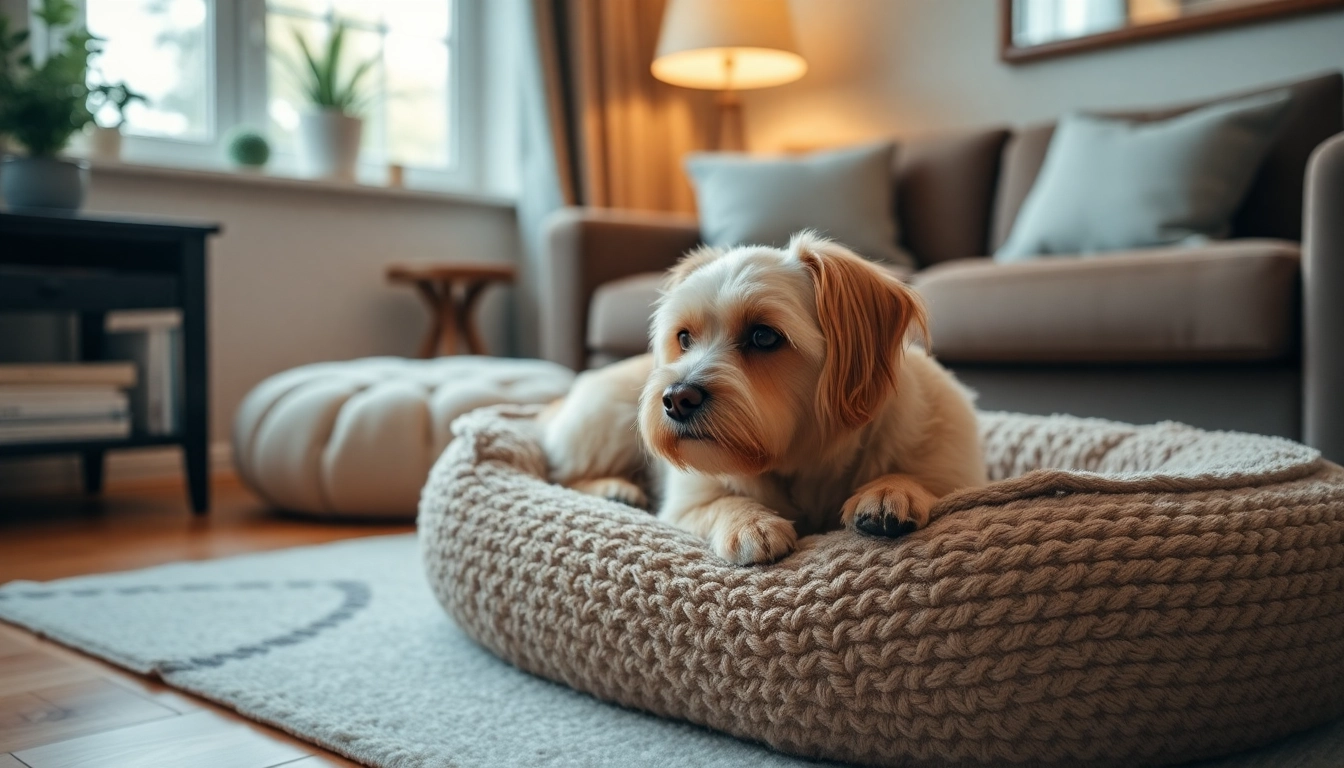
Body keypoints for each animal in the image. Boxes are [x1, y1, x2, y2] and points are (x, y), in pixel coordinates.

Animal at [537, 232, 989, 564]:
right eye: (683, 338)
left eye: (764, 336)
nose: (676, 398)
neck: (805, 456)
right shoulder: (689, 502)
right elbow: (724, 501)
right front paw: (749, 523)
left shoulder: (952, 468)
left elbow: (922, 478)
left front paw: (893, 488)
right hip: (608, 422)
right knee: (561, 475)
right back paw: (613, 488)